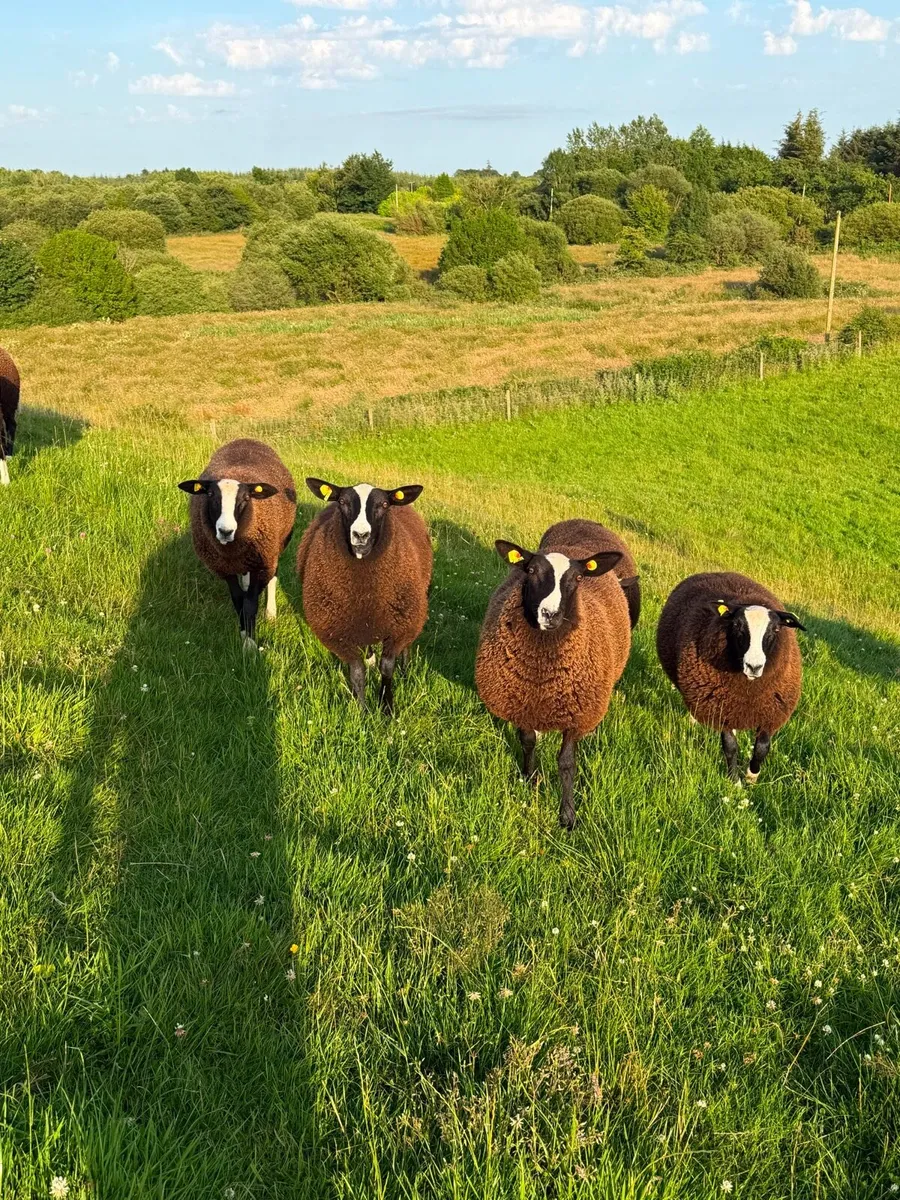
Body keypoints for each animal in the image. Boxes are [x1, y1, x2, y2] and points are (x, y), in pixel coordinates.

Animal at [178, 439, 297, 649]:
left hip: (277, 547)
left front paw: (249, 644)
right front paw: (243, 632)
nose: (225, 531)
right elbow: (238, 599)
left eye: (246, 498)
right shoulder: (225, 568)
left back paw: (270, 613)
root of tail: (247, 439)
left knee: (273, 576)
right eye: (210, 495)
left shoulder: (261, 564)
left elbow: (250, 603)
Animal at [296, 477, 432, 713]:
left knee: (406, 648)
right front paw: (361, 710)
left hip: (412, 613)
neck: (365, 593)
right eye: (342, 502)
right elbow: (357, 671)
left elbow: (387, 668)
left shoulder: (399, 626)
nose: (360, 536)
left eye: (384, 505)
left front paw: (387, 707)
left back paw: (405, 672)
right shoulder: (338, 632)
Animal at [474, 519, 634, 830]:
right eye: (531, 571)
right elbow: (527, 742)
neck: (542, 676)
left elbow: (567, 763)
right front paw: (530, 778)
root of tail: (586, 522)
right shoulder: (522, 703)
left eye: (578, 578)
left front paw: (568, 815)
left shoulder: (577, 713)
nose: (550, 614)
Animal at [656, 571, 805, 782]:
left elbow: (762, 747)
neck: (749, 692)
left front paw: (752, 777)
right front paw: (735, 781)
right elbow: (730, 746)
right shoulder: (721, 707)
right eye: (736, 625)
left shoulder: (771, 712)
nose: (754, 666)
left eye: (776, 630)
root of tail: (716, 572)